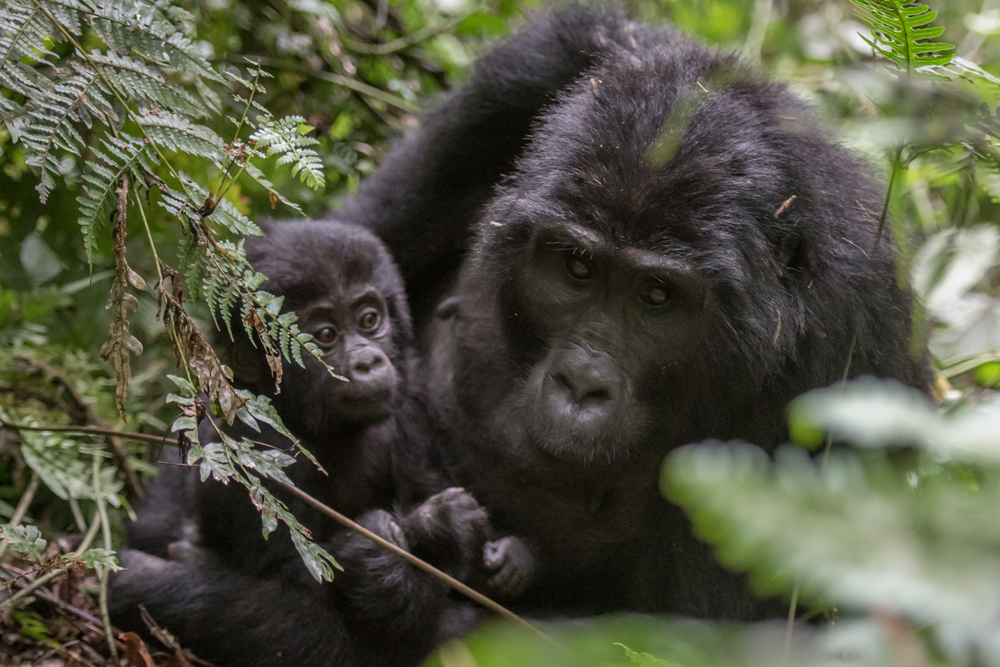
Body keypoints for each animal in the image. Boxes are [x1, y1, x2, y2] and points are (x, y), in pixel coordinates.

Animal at [113, 222, 512, 667]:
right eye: (324, 335)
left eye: (370, 319)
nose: (367, 362)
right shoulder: (258, 442)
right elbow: (297, 590)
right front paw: (395, 552)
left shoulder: (413, 405)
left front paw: (440, 527)